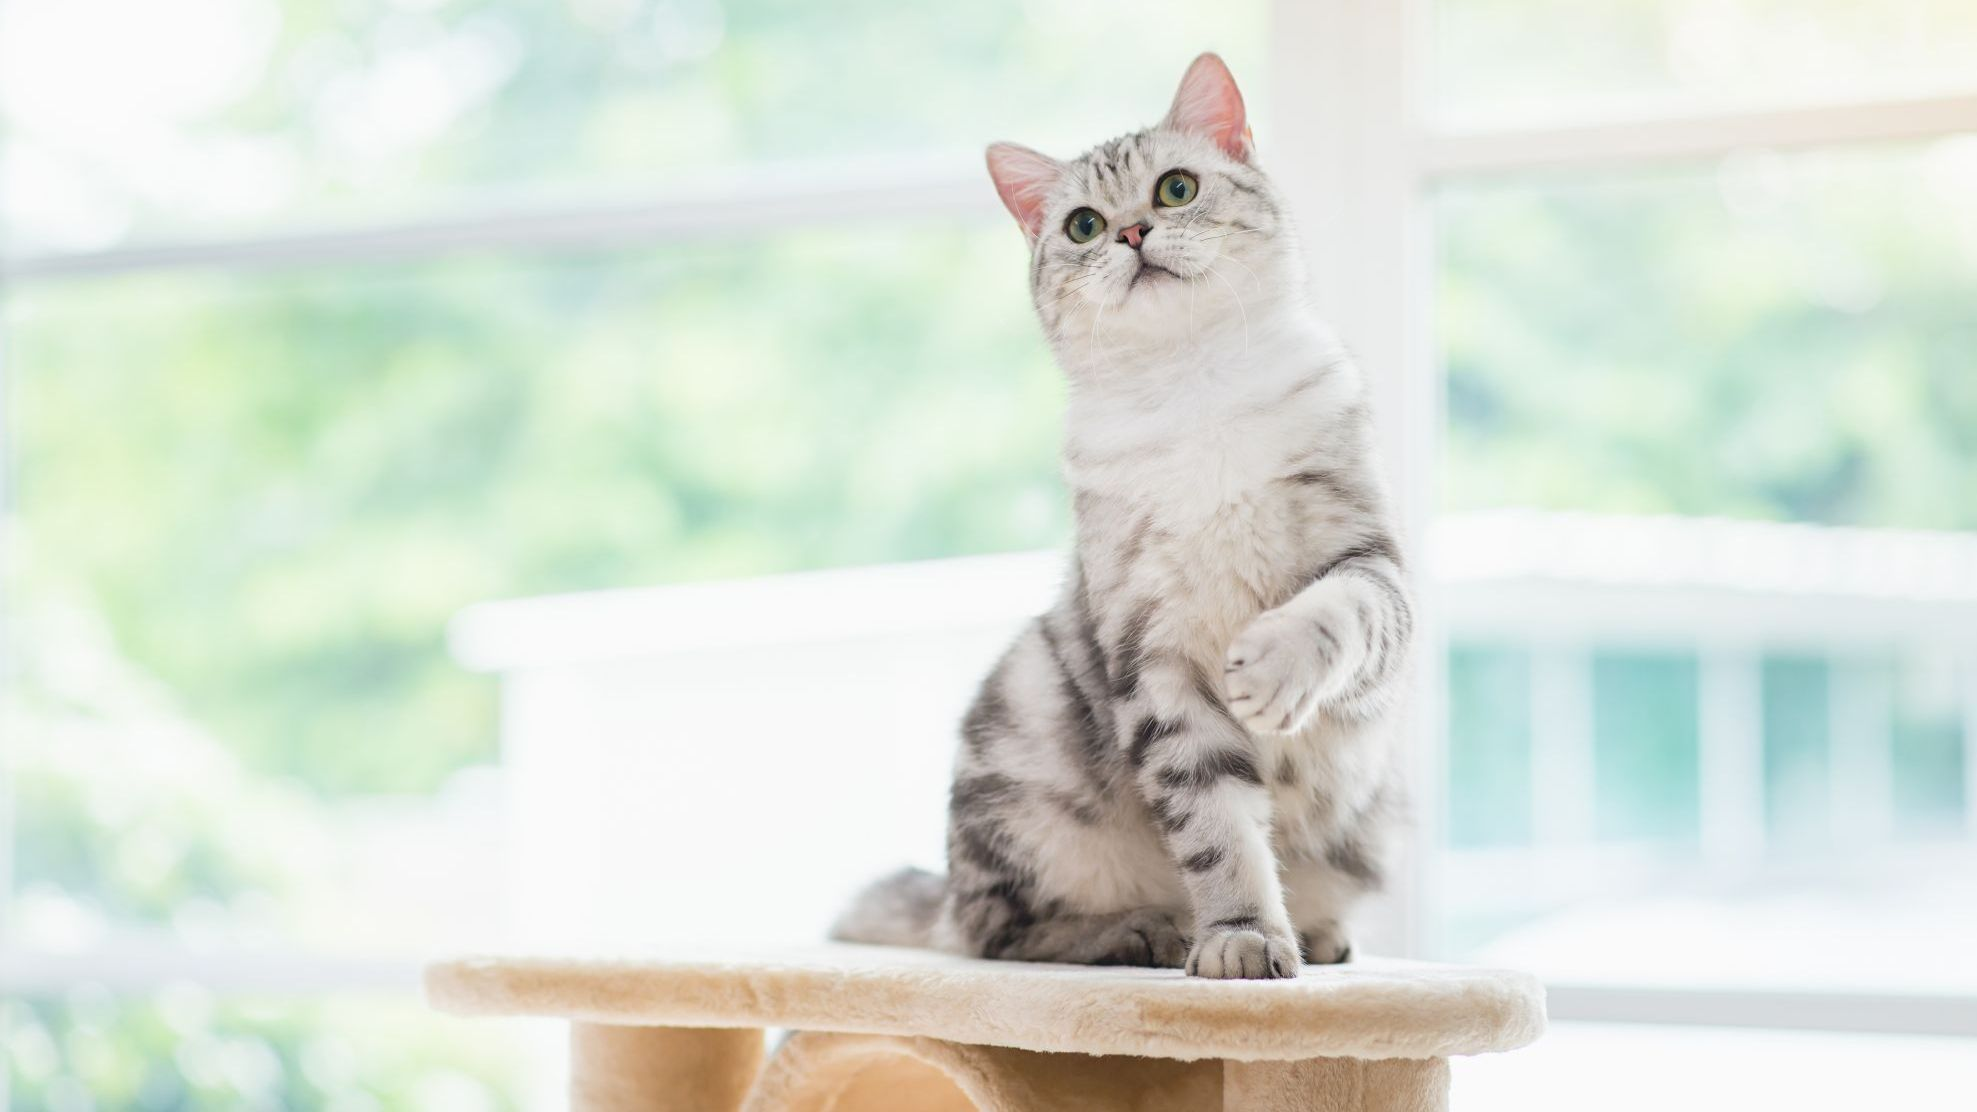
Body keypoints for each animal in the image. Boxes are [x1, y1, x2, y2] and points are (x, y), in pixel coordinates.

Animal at [830, 54, 1407, 977]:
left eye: (1175, 189)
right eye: (1082, 225)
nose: (1131, 235)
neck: (1195, 389)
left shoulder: (1367, 560)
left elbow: (1330, 615)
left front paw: (1271, 668)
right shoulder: (1152, 654)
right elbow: (1216, 828)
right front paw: (1239, 938)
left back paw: (1318, 937)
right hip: (1022, 733)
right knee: (995, 933)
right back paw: (1142, 930)